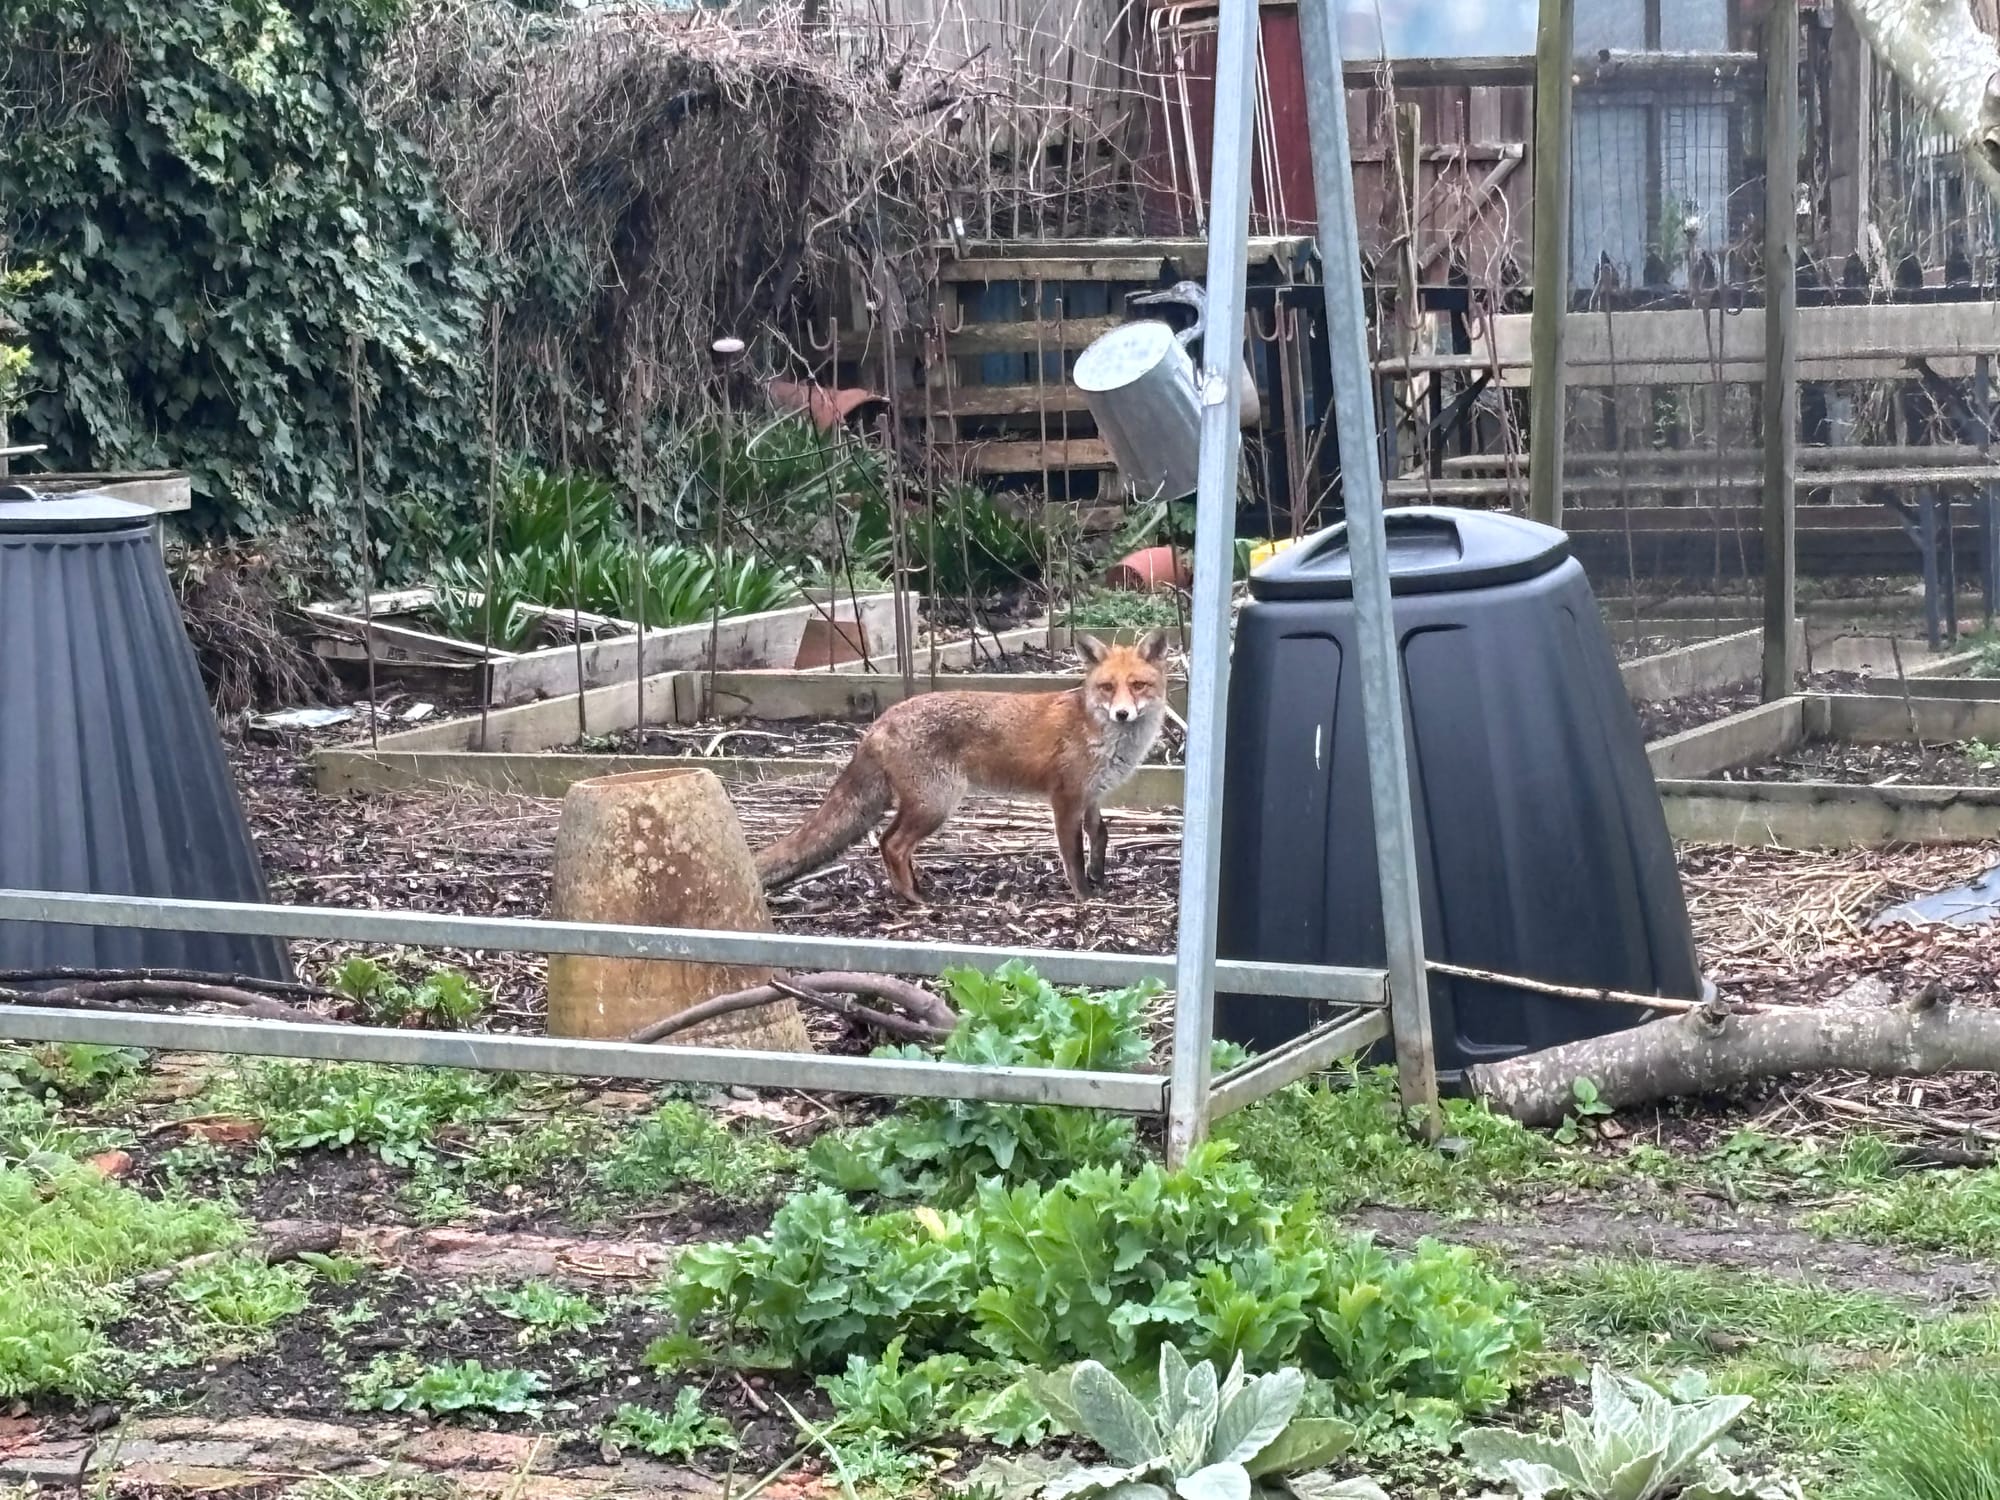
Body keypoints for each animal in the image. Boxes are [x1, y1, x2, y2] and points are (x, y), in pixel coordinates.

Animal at [755, 630, 1172, 903]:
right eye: (1107, 687)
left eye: (1137, 685)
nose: (1122, 714)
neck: (1097, 729)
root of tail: (879, 721)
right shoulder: (1065, 798)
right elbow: (1072, 855)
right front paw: (1084, 895)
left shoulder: (1091, 795)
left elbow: (1100, 835)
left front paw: (1099, 877)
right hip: (938, 803)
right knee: (892, 844)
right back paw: (915, 901)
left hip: (924, 804)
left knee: (890, 843)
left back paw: (913, 890)